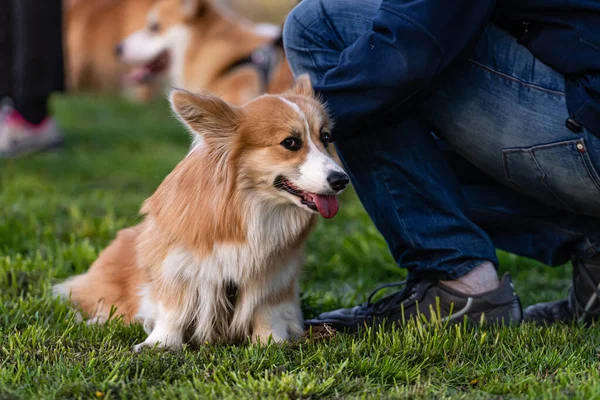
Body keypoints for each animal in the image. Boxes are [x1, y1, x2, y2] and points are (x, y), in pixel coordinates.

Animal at [55, 76, 352, 350]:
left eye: (326, 138)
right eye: (290, 143)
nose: (342, 180)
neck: (248, 208)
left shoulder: (274, 275)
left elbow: (268, 310)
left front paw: (270, 342)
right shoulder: (175, 265)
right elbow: (172, 308)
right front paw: (160, 344)